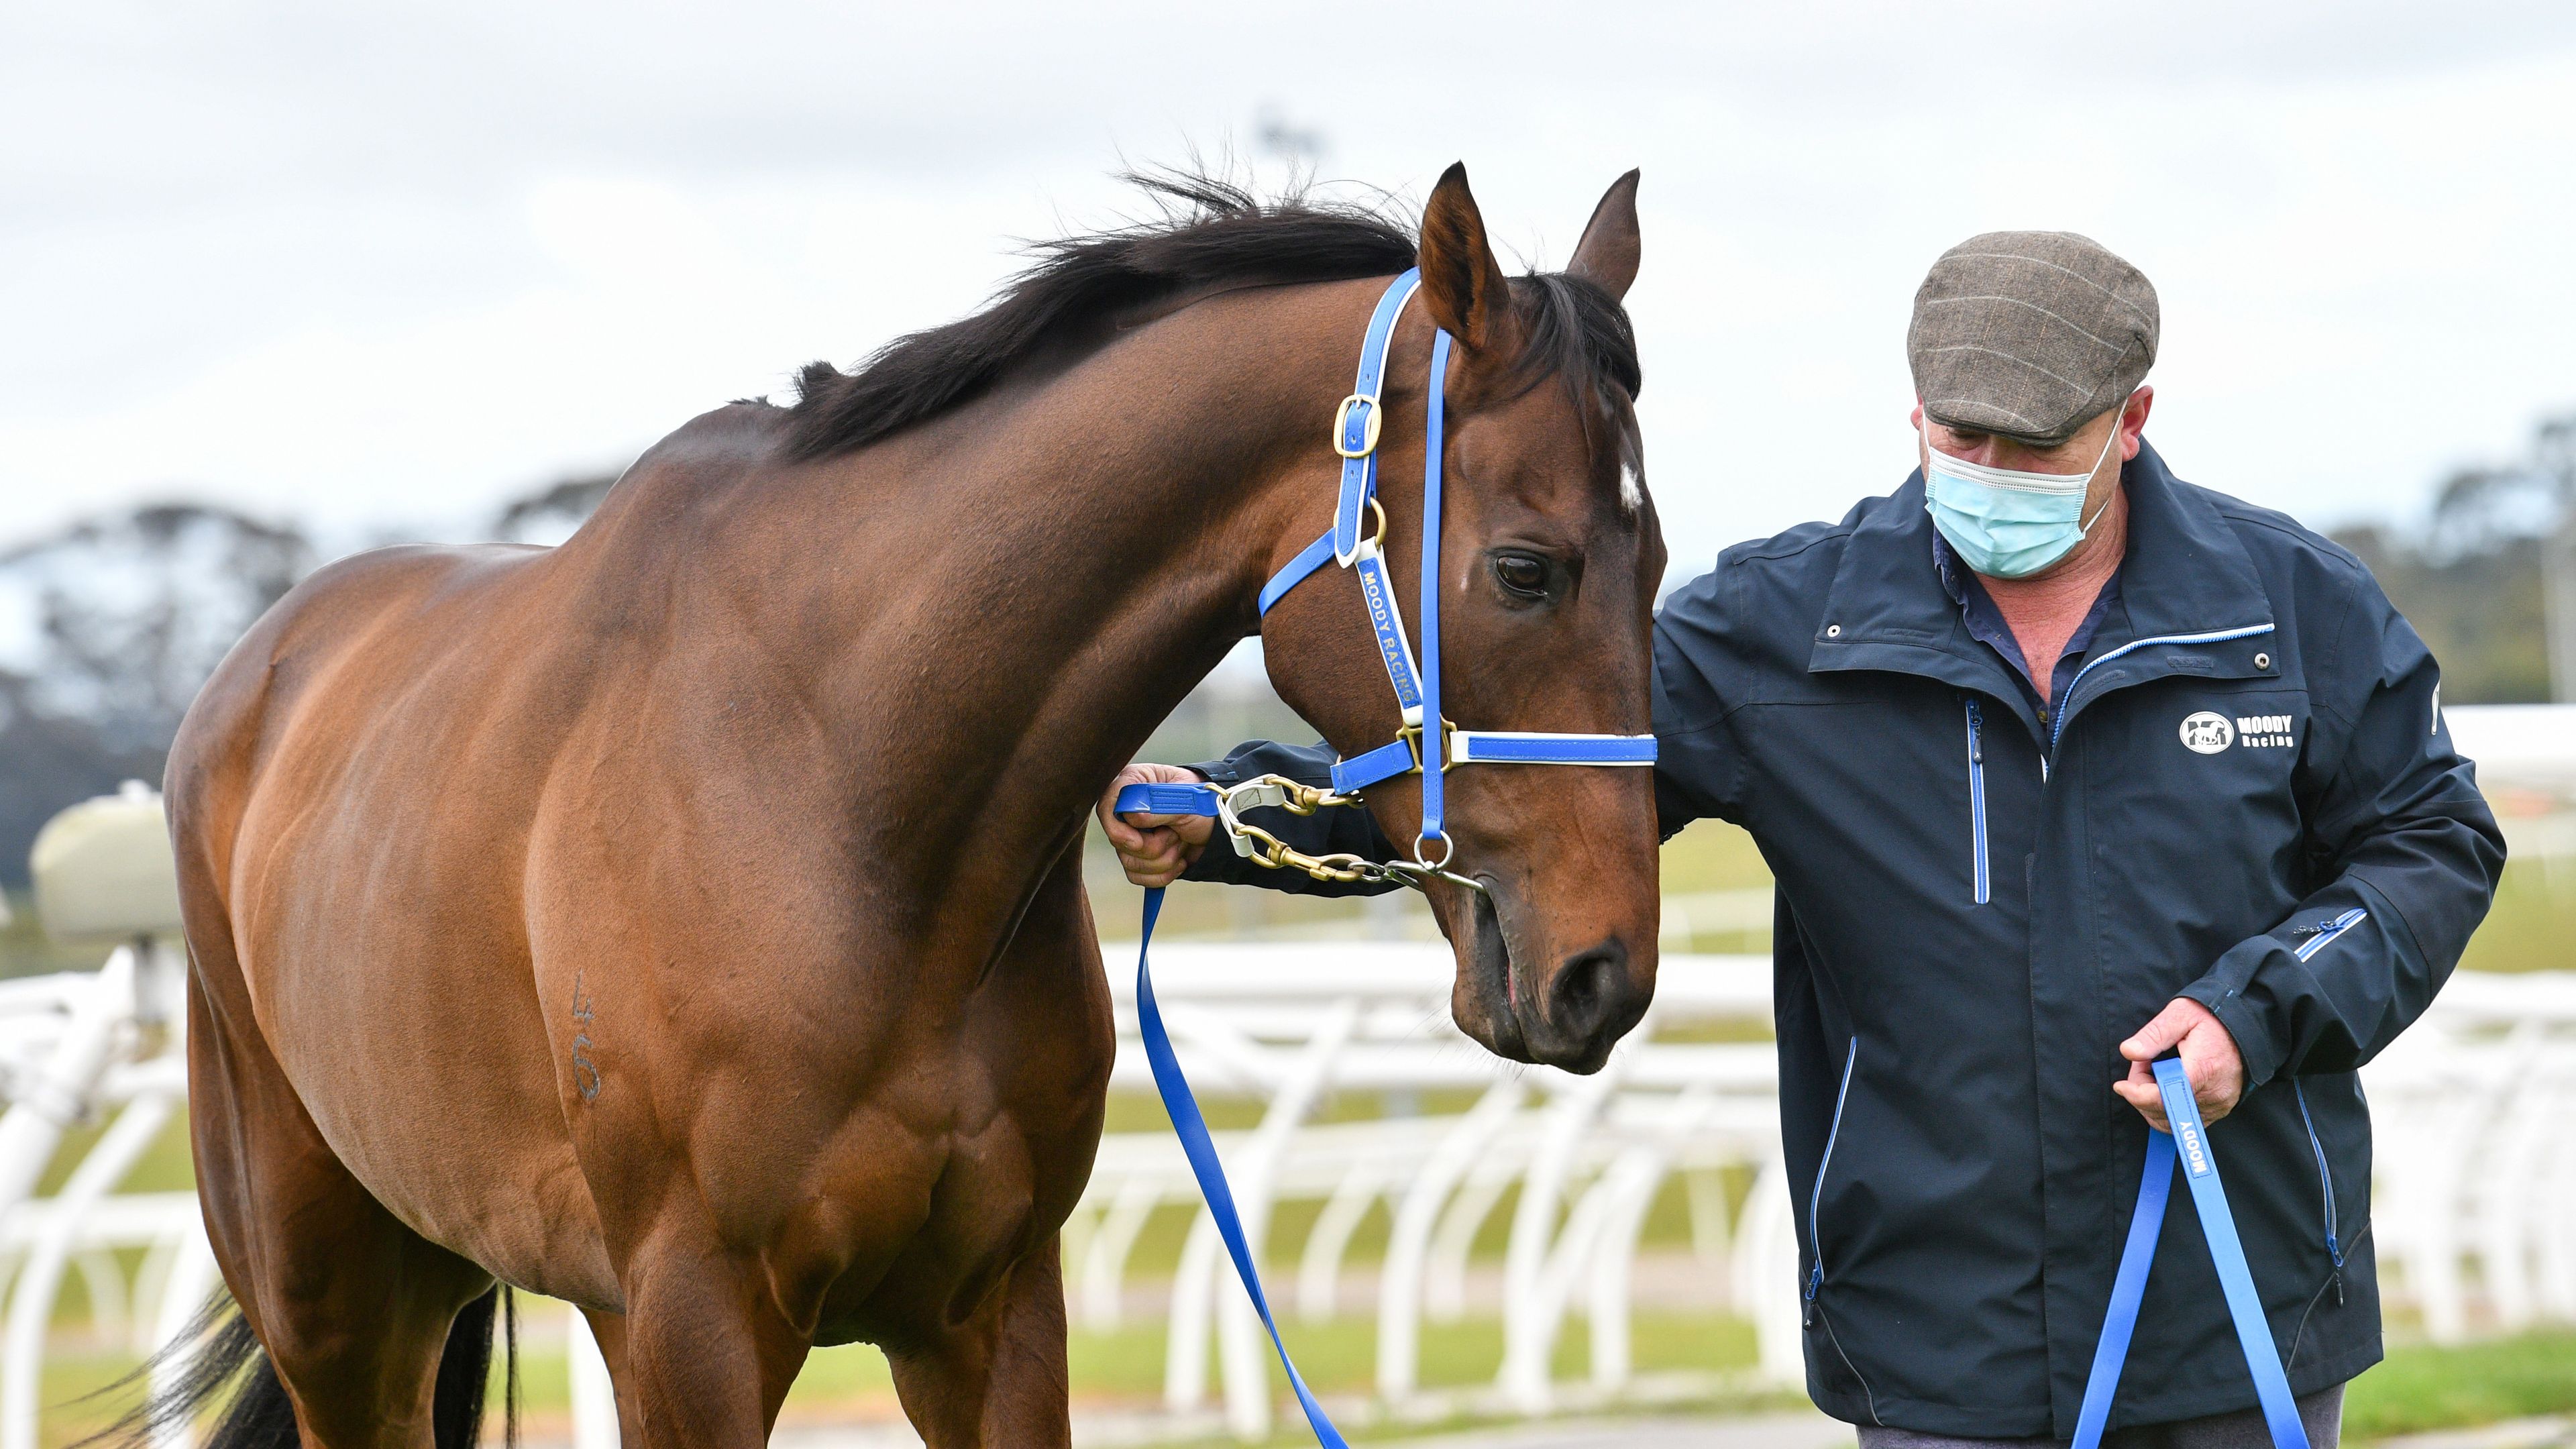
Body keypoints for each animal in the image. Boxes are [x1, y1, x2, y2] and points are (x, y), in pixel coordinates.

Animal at [146, 160, 1669, 1444]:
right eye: (1526, 568)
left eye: (1657, 565)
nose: (1604, 972)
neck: (844, 794)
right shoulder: (684, 1331)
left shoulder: (988, 1313)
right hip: (335, 1305)